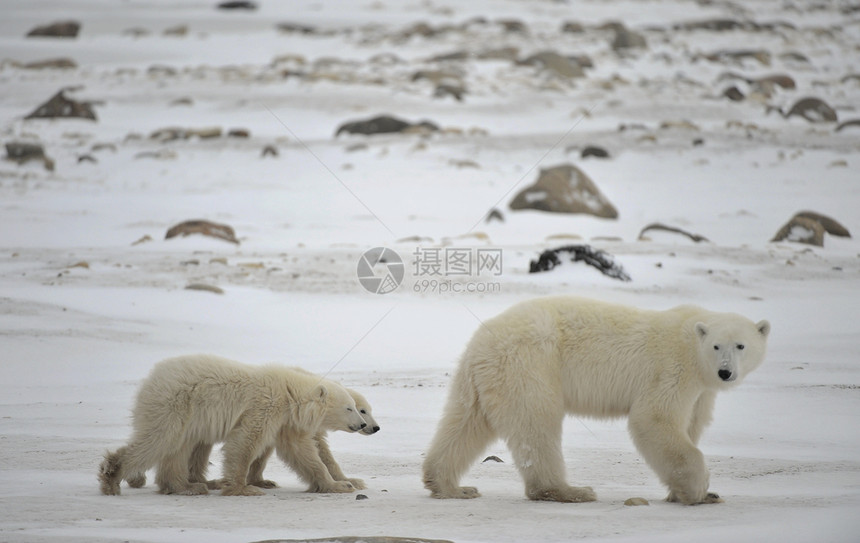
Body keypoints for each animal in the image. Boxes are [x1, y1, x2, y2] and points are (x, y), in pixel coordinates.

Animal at [100, 356, 366, 498]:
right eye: (350, 408)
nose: (363, 424)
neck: (289, 393)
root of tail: (151, 379)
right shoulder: (265, 406)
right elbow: (245, 442)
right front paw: (244, 488)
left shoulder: (286, 422)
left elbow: (303, 453)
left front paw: (340, 484)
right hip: (175, 404)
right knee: (160, 439)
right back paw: (112, 477)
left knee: (179, 448)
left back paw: (188, 486)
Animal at [424, 298, 772, 506]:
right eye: (717, 346)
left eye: (741, 345)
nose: (725, 372)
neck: (691, 343)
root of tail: (481, 341)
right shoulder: (672, 369)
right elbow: (653, 419)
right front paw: (698, 491)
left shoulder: (702, 391)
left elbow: (691, 426)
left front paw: (686, 491)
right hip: (532, 364)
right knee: (537, 425)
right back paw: (570, 490)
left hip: (484, 378)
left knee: (464, 423)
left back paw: (450, 486)